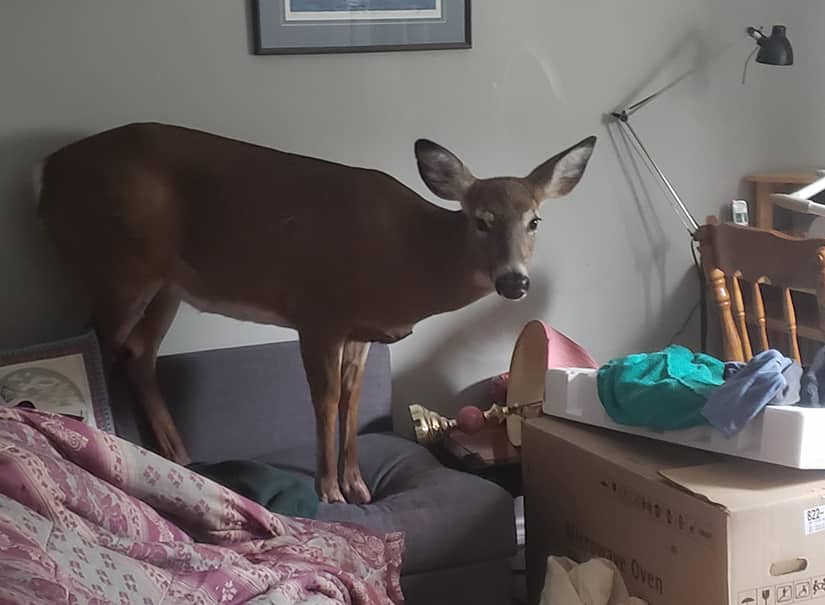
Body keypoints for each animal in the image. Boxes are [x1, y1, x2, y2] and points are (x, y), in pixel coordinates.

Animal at [35, 123, 596, 504]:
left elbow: (351, 400)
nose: (514, 281)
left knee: (138, 353)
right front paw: (329, 490)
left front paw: (358, 485)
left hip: (166, 286)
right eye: (480, 220)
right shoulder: (318, 311)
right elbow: (324, 400)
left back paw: (180, 458)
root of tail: (46, 176)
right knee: (100, 347)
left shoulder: (361, 329)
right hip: (115, 268)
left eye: (535, 220)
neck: (404, 257)